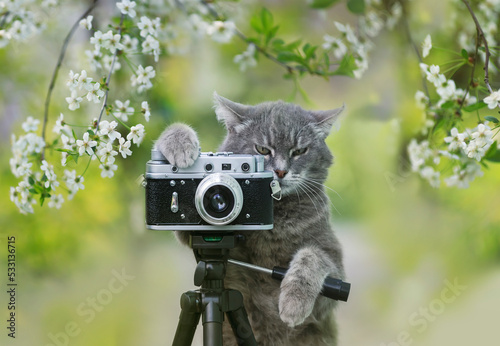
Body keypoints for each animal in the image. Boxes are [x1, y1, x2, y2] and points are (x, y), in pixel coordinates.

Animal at [158, 93, 346, 344]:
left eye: (299, 151)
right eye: (262, 149)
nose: (281, 171)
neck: (275, 213)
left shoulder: (333, 274)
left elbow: (312, 257)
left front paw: (294, 302)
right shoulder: (188, 229)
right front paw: (179, 145)